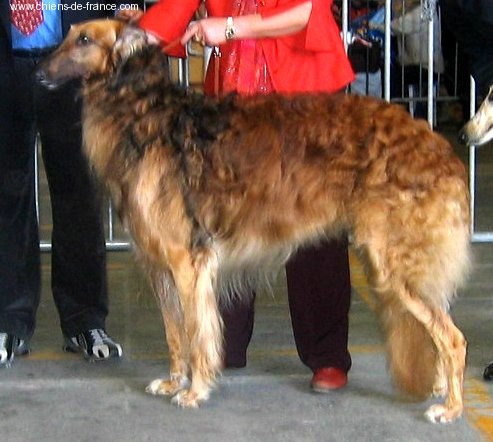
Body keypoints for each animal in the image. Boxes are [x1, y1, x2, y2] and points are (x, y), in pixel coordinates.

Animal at [36, 19, 472, 423]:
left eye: (84, 39)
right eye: (68, 35)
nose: (37, 73)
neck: (143, 115)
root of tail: (439, 146)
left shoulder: (187, 262)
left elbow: (196, 334)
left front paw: (195, 391)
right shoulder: (160, 265)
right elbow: (175, 336)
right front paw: (174, 381)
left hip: (394, 264)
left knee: (453, 339)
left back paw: (451, 407)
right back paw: (439, 388)